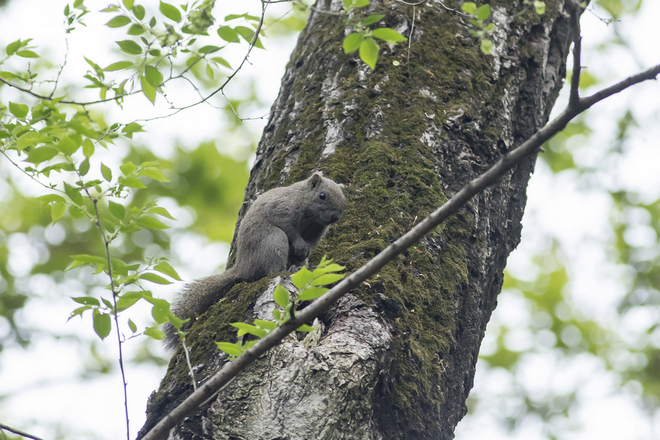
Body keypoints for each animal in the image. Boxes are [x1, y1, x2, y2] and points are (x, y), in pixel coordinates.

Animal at [164, 174, 346, 348]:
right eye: (322, 195)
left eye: (344, 198)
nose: (335, 217)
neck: (310, 215)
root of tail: (244, 267)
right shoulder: (281, 210)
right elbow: (289, 229)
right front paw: (300, 244)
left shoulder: (318, 230)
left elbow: (312, 243)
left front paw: (305, 249)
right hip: (273, 240)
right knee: (272, 269)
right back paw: (288, 270)